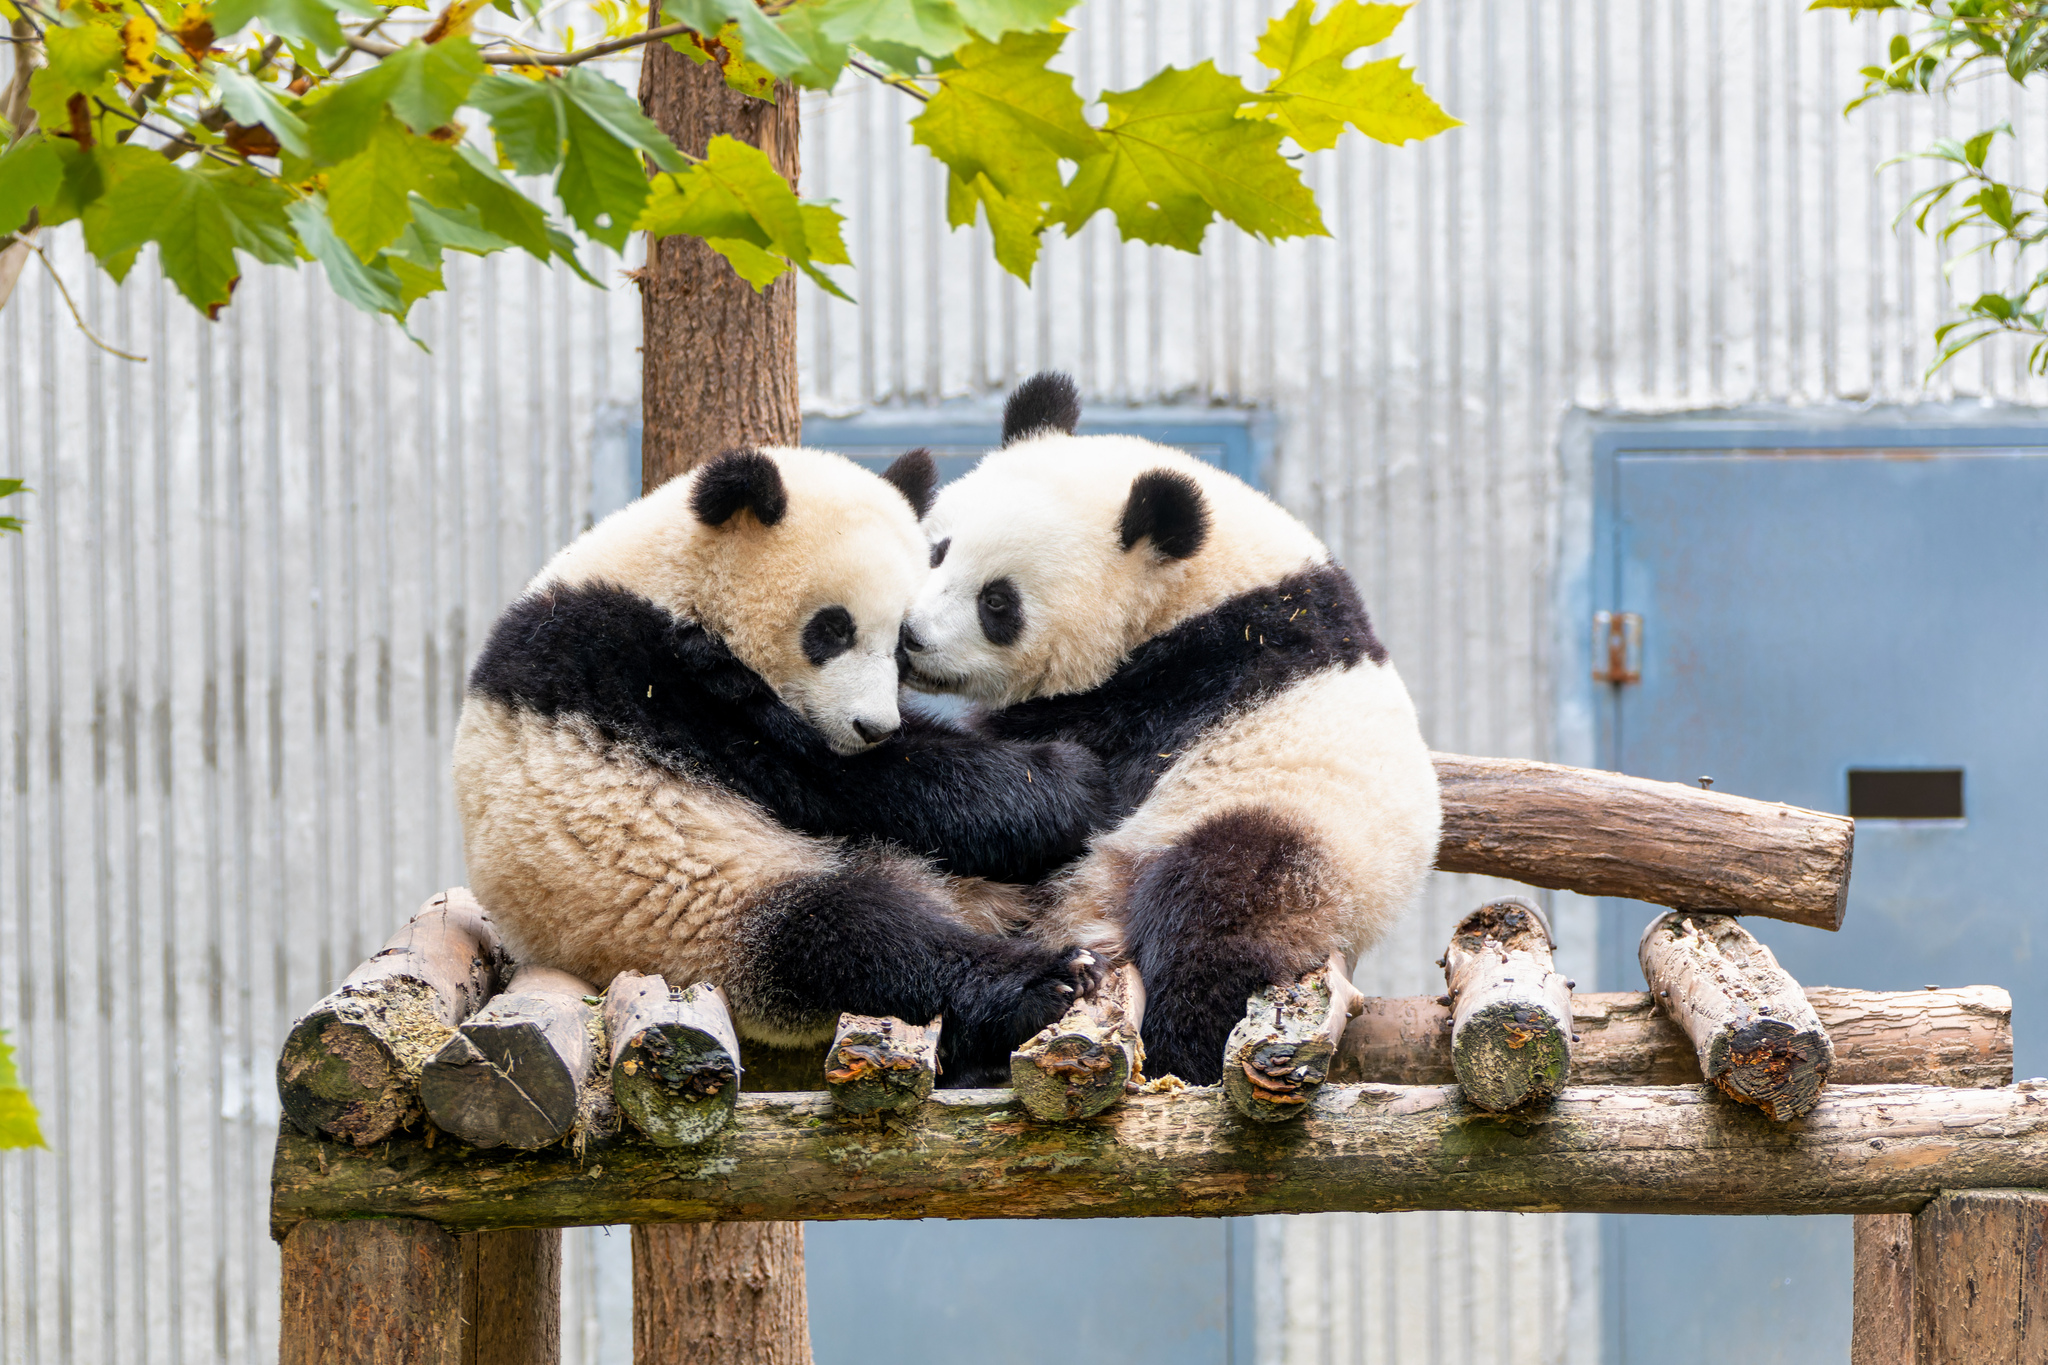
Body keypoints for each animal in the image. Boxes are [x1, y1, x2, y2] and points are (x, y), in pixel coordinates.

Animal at [456, 444, 1114, 1080]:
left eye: (902, 642)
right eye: (833, 629)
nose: (872, 728)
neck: (670, 581)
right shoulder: (640, 677)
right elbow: (843, 781)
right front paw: (1068, 780)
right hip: (696, 914)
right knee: (854, 941)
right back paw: (1047, 980)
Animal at [905, 370, 1449, 1080]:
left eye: (998, 601)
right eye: (937, 552)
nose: (910, 637)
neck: (1198, 589)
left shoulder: (1176, 685)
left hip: (1293, 845)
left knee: (1211, 919)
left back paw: (1175, 1051)